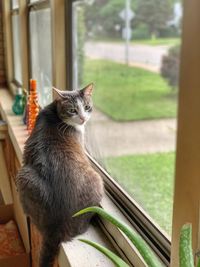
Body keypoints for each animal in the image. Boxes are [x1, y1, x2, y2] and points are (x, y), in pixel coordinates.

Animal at [16, 84, 104, 267]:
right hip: (98, 179)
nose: (83, 118)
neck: (55, 113)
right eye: (72, 110)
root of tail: (55, 228)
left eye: (87, 107)